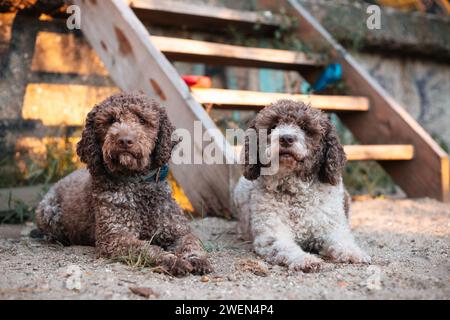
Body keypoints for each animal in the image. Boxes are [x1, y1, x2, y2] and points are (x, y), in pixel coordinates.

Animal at [34, 91, 211, 276]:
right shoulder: (115, 236)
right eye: (111, 120)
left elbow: (191, 242)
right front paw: (172, 260)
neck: (137, 183)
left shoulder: (177, 230)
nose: (125, 140)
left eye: (142, 120)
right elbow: (147, 248)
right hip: (48, 211)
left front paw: (196, 259)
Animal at [234, 100, 370, 272]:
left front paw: (353, 253)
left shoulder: (332, 227)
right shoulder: (271, 233)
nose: (286, 138)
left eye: (305, 127)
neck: (296, 193)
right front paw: (305, 259)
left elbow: (342, 240)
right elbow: (286, 247)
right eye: (273, 126)